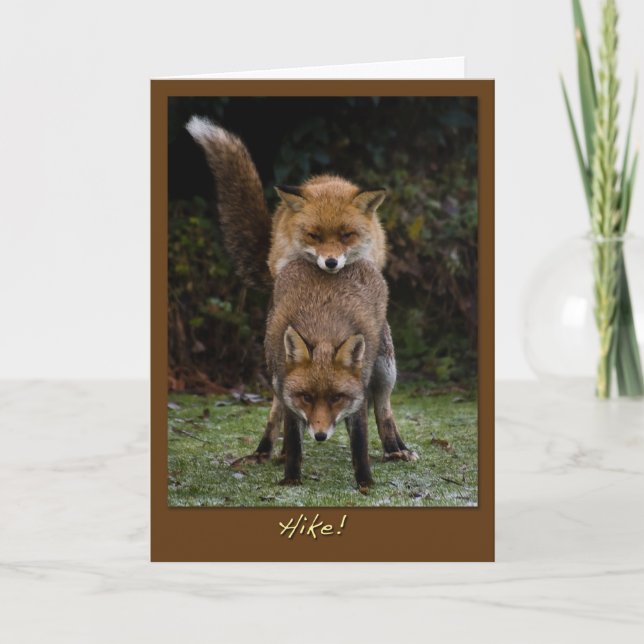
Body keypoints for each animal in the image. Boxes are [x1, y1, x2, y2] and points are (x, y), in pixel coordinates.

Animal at [186, 116, 416, 462]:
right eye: (314, 235)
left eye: (347, 235)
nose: (331, 263)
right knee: (277, 409)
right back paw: (270, 450)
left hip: (386, 365)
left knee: (382, 406)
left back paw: (394, 447)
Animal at [266, 258, 389, 490]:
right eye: (306, 397)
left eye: (336, 398)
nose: (320, 436)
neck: (323, 331)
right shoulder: (288, 398)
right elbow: (294, 441)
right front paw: (291, 478)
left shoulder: (360, 395)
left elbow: (360, 442)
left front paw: (365, 481)